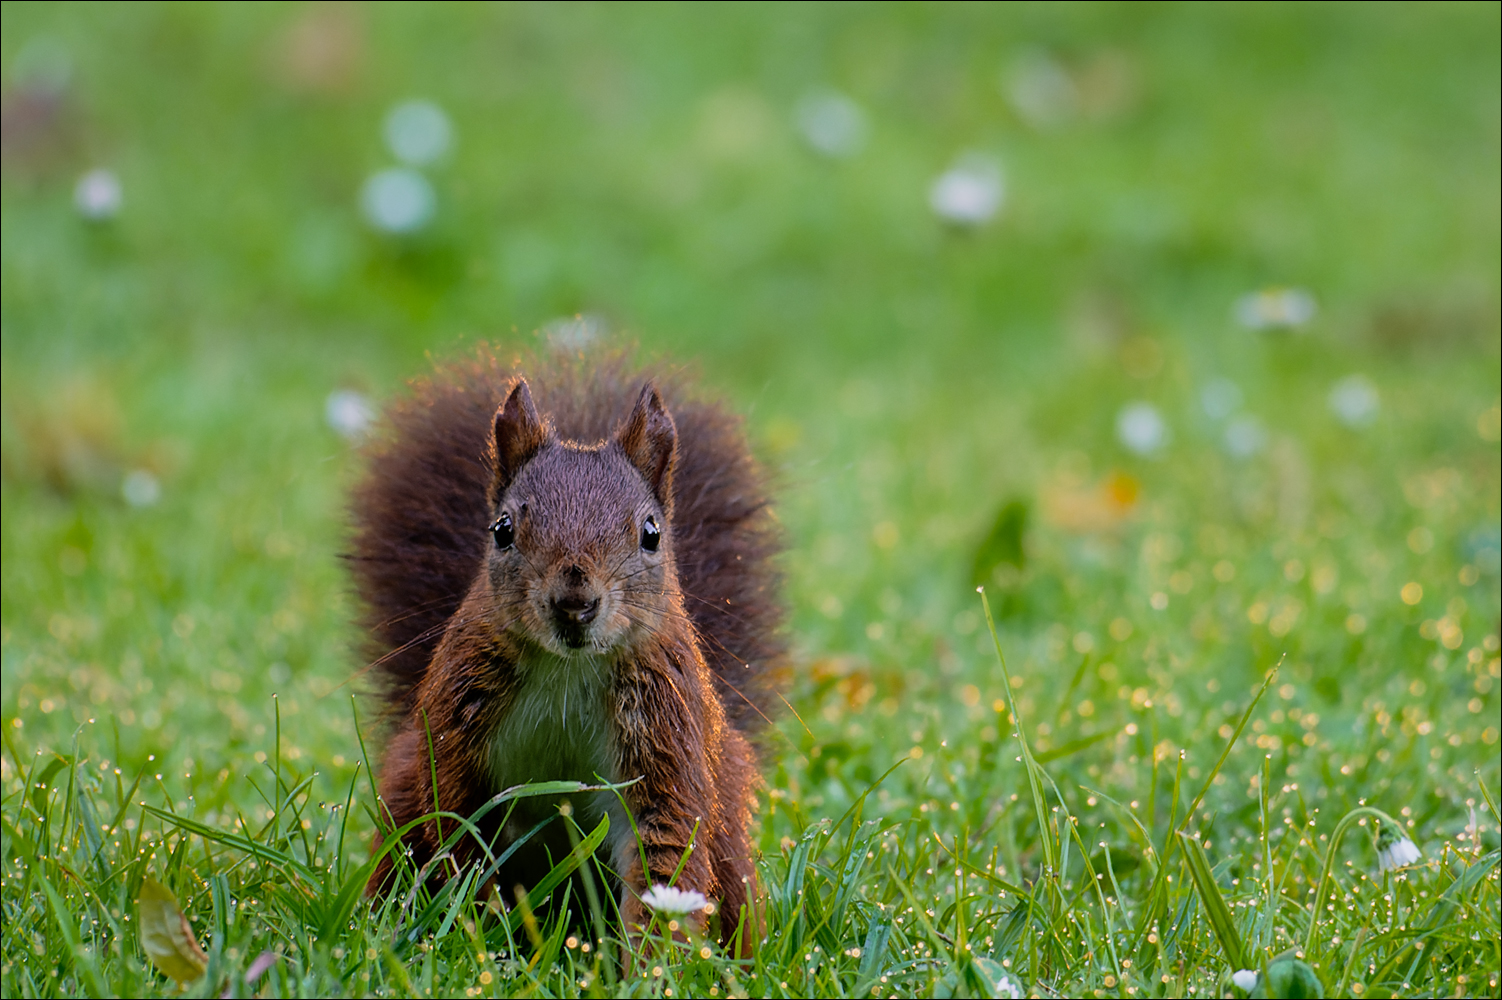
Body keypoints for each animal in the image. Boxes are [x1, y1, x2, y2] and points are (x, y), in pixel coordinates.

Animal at [343, 346, 781, 948]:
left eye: (651, 533)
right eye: (502, 529)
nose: (574, 604)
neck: (568, 669)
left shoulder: (663, 734)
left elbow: (664, 852)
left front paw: (652, 962)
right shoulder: (456, 726)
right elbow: (454, 826)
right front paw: (477, 935)